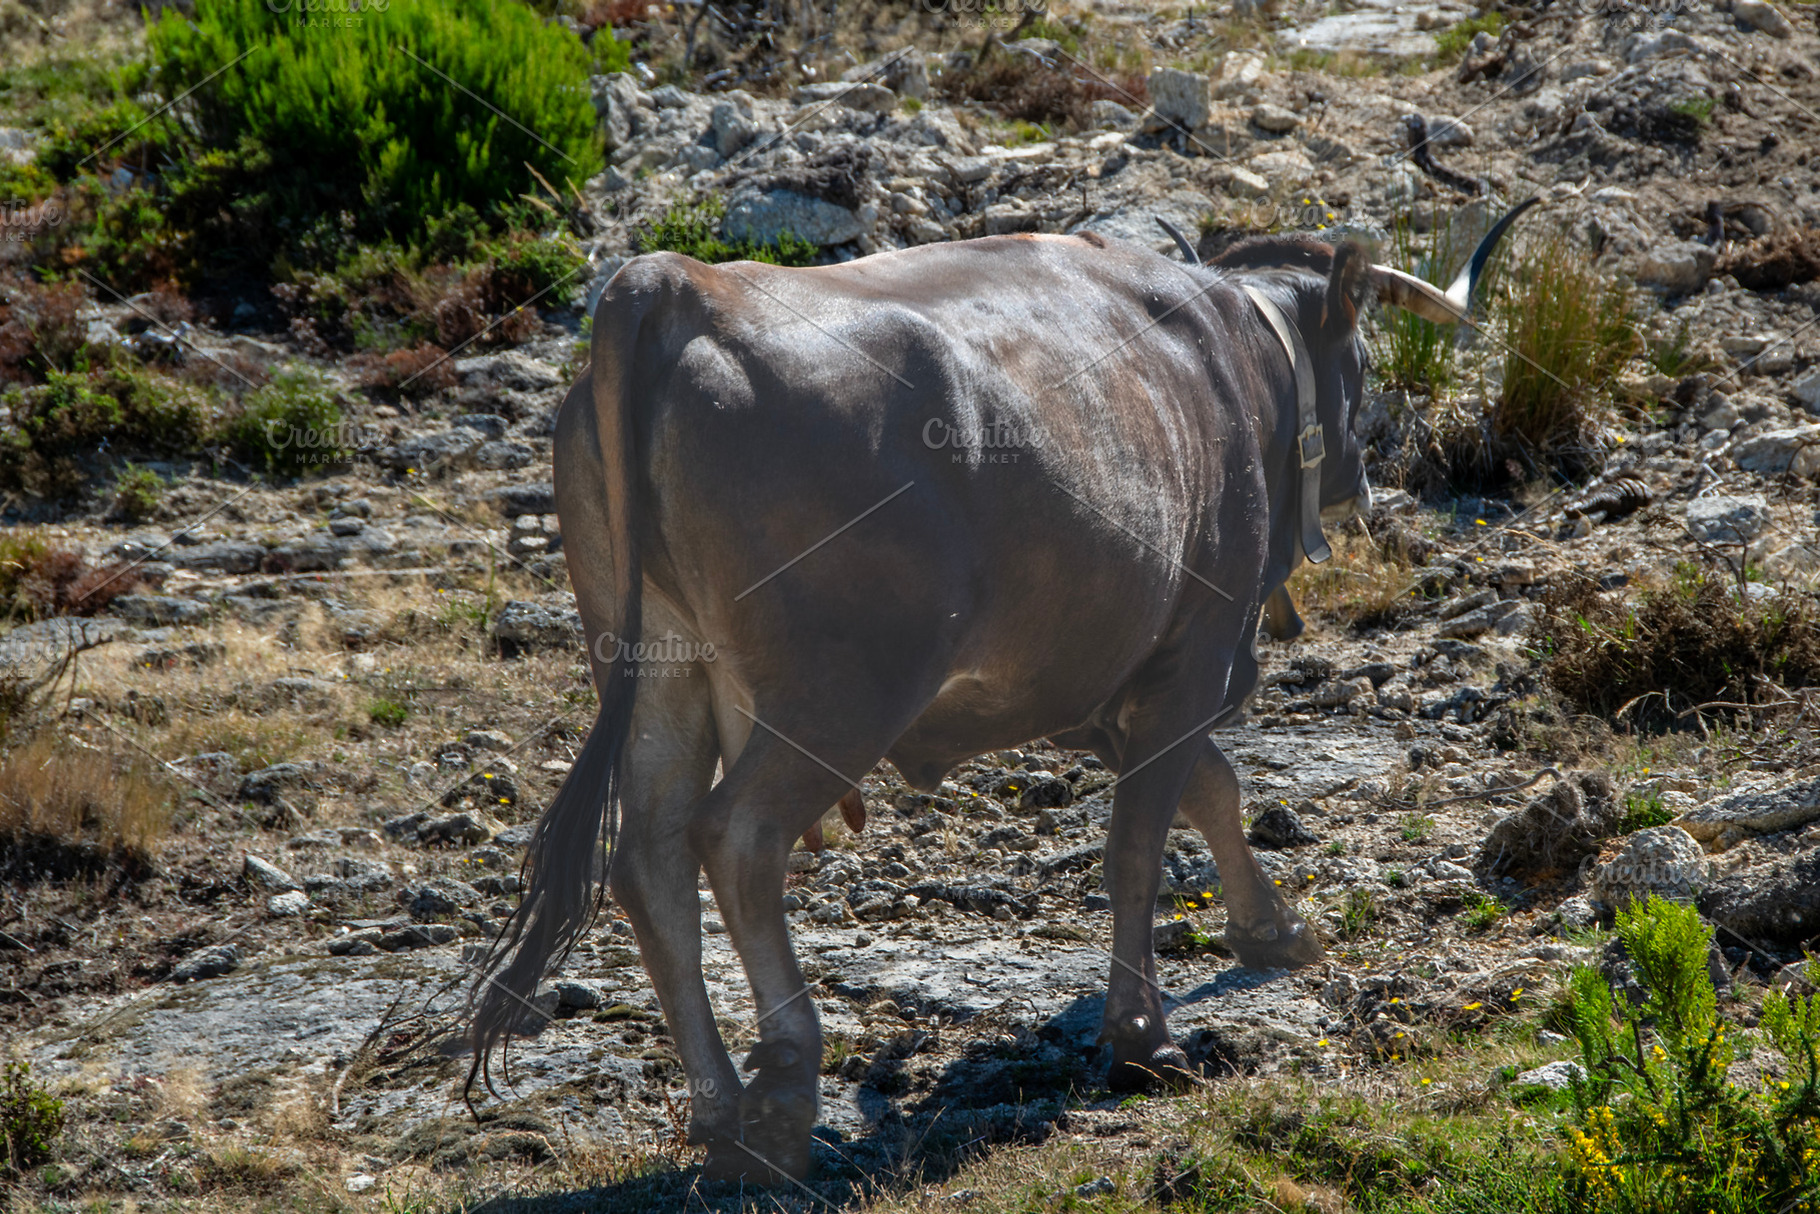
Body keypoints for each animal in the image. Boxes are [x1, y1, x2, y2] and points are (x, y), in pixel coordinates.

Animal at [469, 203, 1535, 1184]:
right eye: (1361, 352)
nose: (1364, 479)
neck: (1236, 357)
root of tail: (684, 282)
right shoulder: (1193, 650)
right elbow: (1140, 843)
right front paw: (1144, 1037)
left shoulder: (1102, 680)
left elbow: (1212, 788)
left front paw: (1271, 929)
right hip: (839, 693)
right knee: (736, 837)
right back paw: (777, 1109)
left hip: (655, 665)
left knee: (648, 860)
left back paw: (717, 1108)